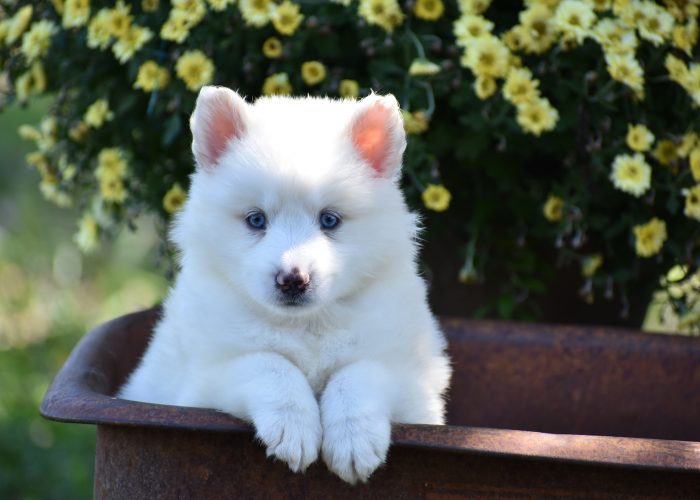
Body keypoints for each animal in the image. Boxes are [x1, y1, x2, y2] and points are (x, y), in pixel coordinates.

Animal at [118, 87, 452, 484]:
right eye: (256, 220)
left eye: (329, 220)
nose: (292, 280)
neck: (305, 326)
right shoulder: (203, 381)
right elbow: (267, 363)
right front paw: (293, 427)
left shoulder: (413, 382)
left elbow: (360, 373)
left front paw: (353, 438)